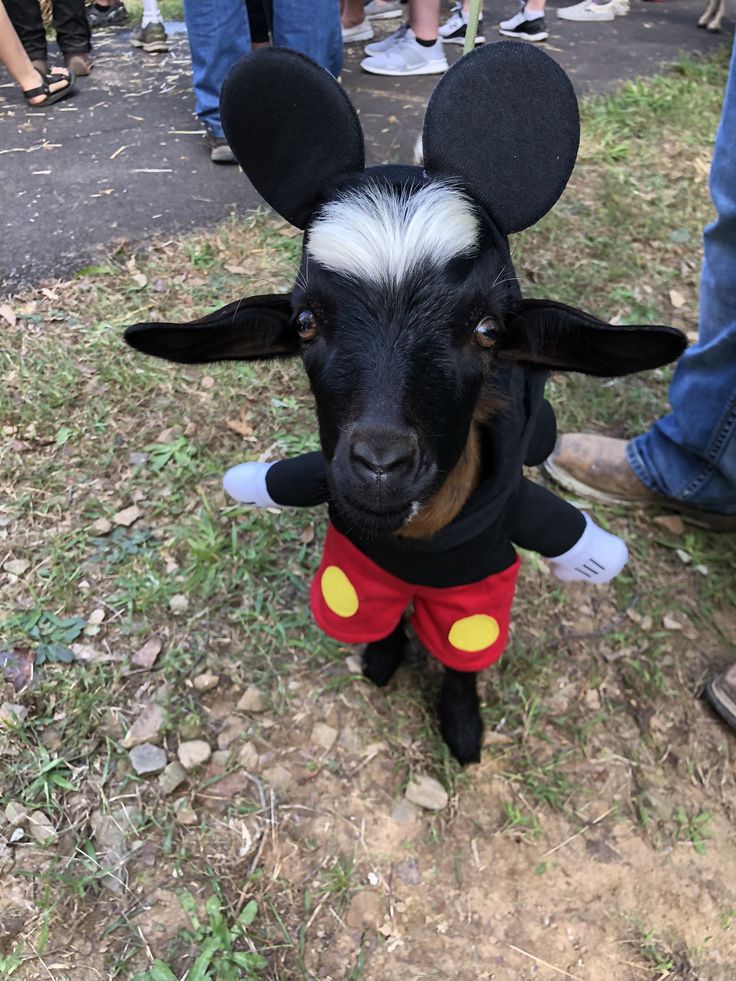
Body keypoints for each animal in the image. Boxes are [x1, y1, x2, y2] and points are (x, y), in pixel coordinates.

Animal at [125, 42, 684, 764]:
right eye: (305, 322)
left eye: (487, 330)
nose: (381, 464)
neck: (416, 548)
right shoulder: (359, 569)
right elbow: (378, 618)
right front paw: (381, 660)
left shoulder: (477, 585)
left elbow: (463, 658)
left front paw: (463, 727)